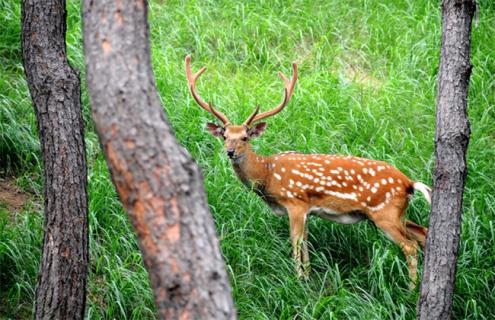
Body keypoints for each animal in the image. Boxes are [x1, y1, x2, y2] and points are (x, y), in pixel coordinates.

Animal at [185, 54, 430, 288]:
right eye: (225, 136)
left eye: (245, 137)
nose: (230, 152)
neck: (267, 175)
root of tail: (409, 183)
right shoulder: (308, 210)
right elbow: (305, 243)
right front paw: (308, 276)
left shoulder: (295, 202)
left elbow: (296, 242)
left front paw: (298, 278)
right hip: (394, 213)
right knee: (423, 233)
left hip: (384, 212)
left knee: (409, 246)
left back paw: (410, 289)